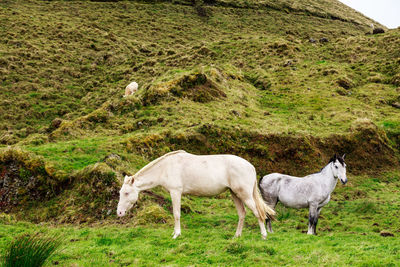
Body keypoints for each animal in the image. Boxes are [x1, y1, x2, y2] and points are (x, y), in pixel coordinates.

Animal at [117, 151, 276, 241]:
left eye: (126, 193)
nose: (119, 213)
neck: (165, 168)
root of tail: (251, 166)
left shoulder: (175, 192)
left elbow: (176, 214)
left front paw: (176, 234)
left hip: (245, 195)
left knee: (258, 213)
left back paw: (264, 236)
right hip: (235, 194)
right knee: (242, 214)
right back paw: (236, 236)